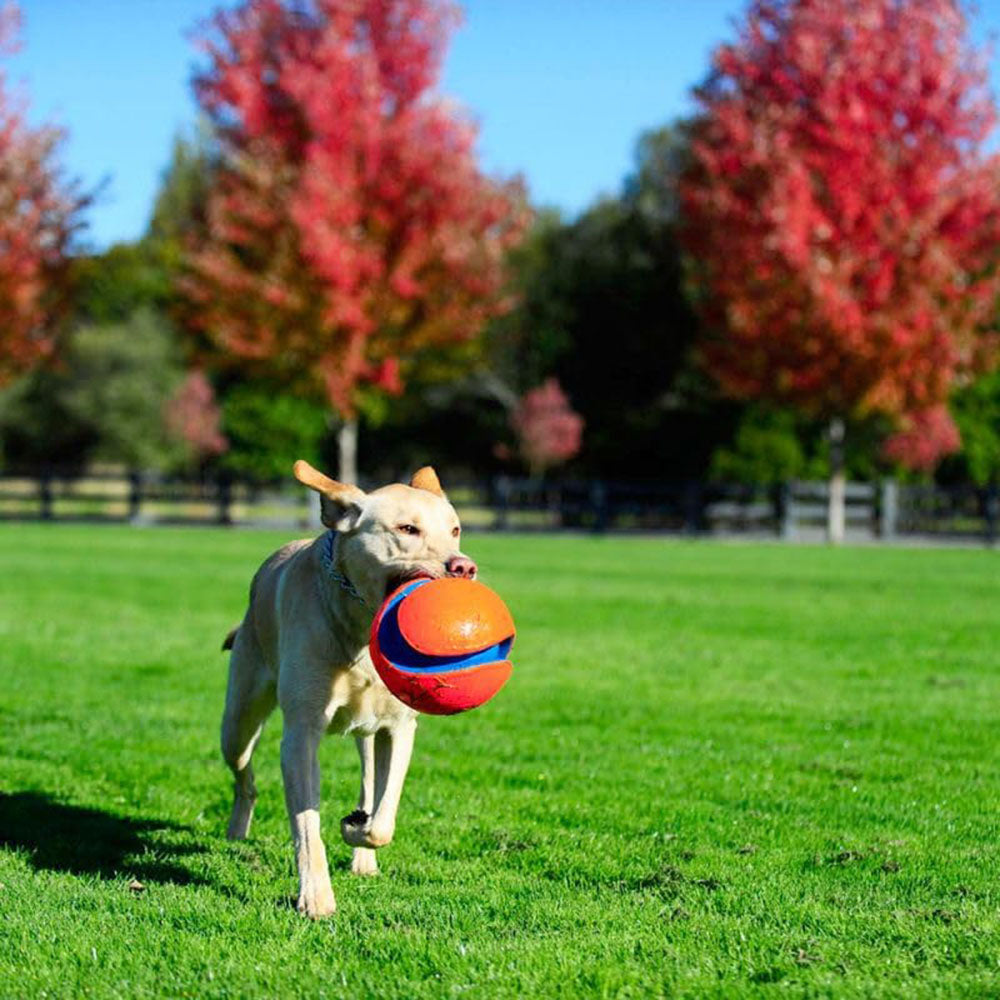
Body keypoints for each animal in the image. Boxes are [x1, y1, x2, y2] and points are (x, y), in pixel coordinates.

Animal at [221, 458, 478, 916]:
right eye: (407, 529)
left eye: (455, 530)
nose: (463, 567)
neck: (361, 632)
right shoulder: (301, 735)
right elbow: (307, 825)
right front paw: (316, 897)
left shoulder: (399, 728)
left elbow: (384, 816)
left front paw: (357, 829)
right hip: (238, 722)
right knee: (244, 774)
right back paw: (238, 829)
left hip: (367, 733)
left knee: (369, 780)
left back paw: (362, 852)